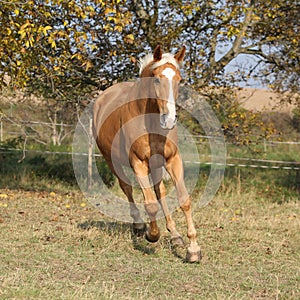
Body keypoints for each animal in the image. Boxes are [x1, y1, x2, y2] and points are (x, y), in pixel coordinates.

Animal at [94, 45, 202, 262]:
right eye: (157, 79)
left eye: (179, 79)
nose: (169, 120)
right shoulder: (138, 163)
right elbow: (150, 203)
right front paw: (152, 235)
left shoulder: (172, 160)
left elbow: (184, 200)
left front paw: (193, 249)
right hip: (111, 160)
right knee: (127, 188)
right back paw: (138, 225)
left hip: (157, 165)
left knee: (159, 191)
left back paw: (175, 235)